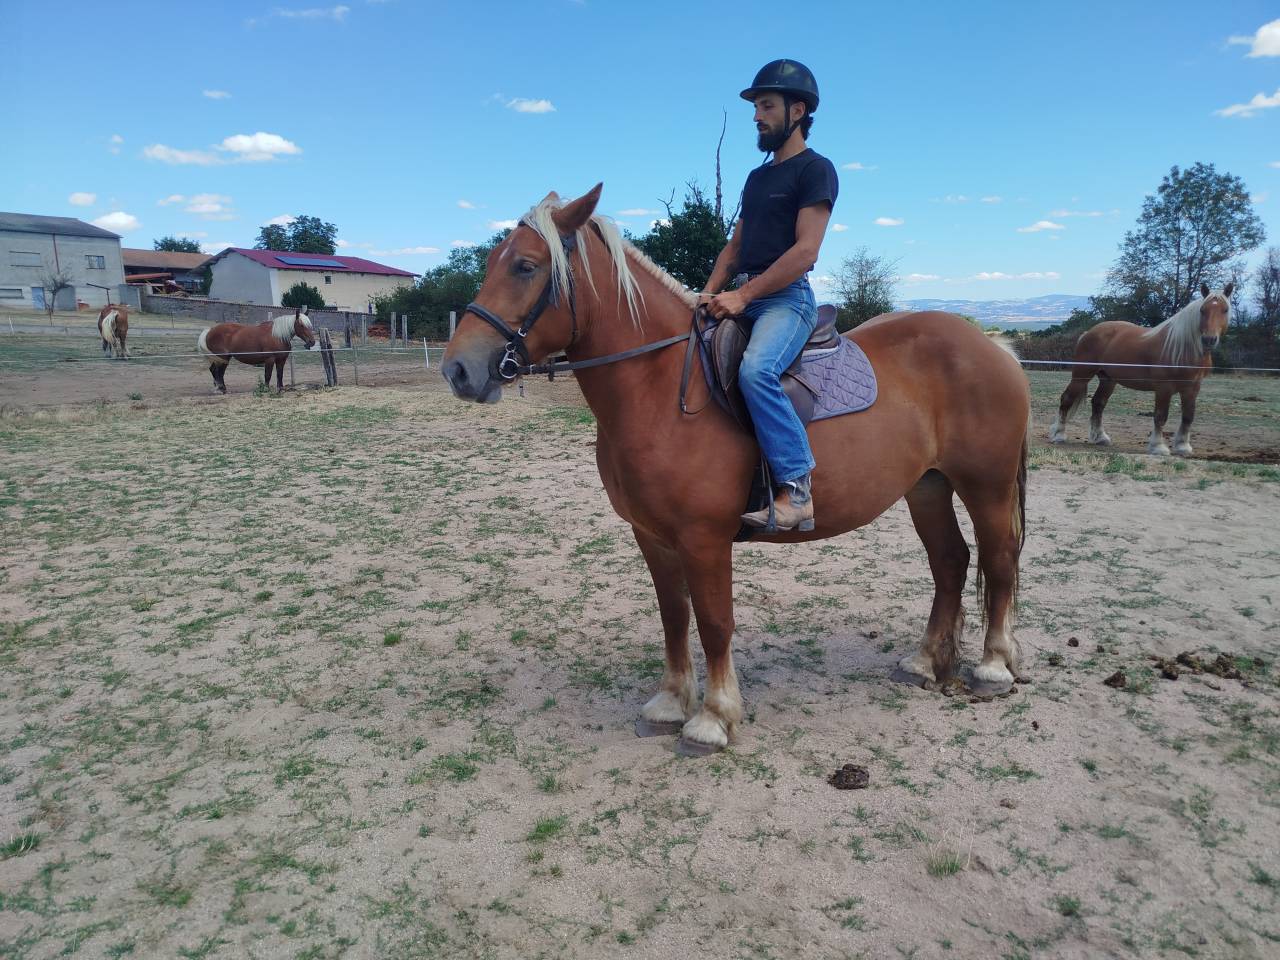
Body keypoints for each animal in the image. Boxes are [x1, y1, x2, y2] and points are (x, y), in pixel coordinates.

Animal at [441, 184, 1031, 756]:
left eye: (525, 266)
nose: (458, 369)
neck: (659, 387)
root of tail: (990, 344)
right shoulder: (651, 535)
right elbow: (674, 616)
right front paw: (670, 703)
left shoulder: (703, 538)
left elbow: (714, 621)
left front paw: (712, 719)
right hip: (927, 487)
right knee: (950, 562)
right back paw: (926, 662)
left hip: (986, 485)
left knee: (999, 559)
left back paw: (994, 667)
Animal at [1048, 284, 1233, 456]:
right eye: (1202, 310)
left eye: (1225, 310)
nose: (1209, 339)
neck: (1183, 348)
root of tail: (1088, 333)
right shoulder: (1164, 388)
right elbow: (1160, 416)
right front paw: (1158, 447)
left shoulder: (1192, 388)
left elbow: (1188, 417)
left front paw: (1182, 447)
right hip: (1082, 375)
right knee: (1067, 399)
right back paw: (1059, 435)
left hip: (1108, 379)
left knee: (1098, 403)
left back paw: (1100, 438)